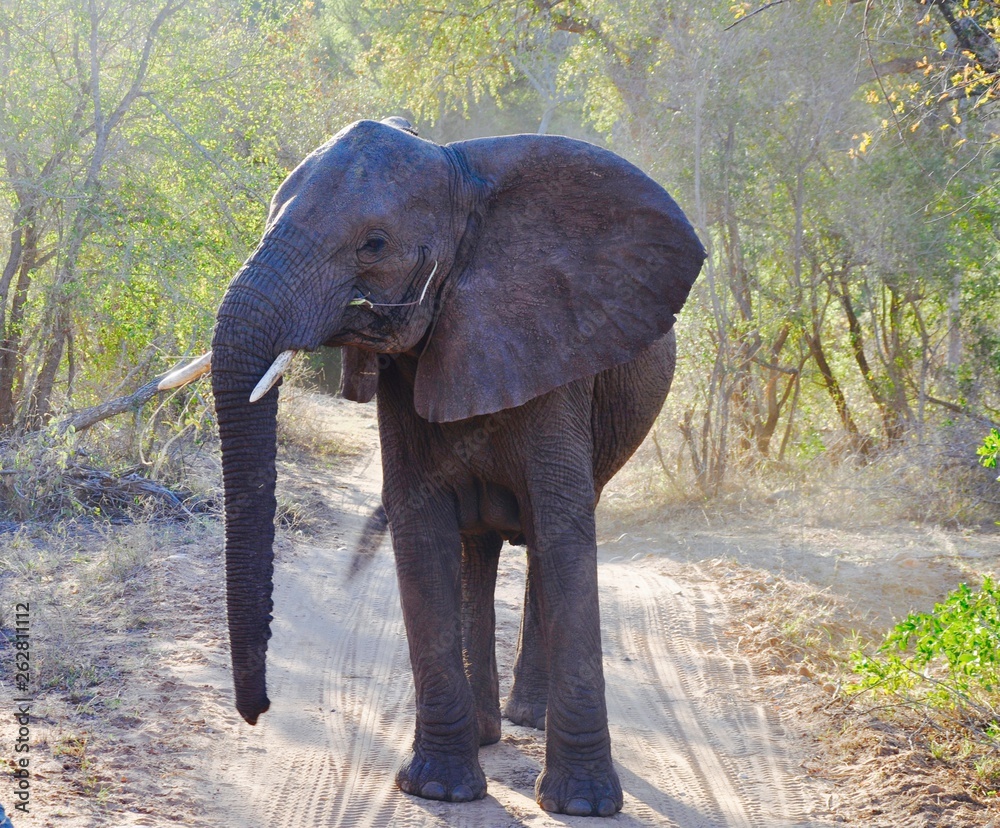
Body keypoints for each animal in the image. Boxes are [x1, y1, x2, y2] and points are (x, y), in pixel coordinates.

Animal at [161, 116, 704, 816]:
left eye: (375, 243)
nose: (257, 712)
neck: (463, 179)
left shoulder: (558, 347)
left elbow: (562, 531)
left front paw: (582, 806)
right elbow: (421, 530)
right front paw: (440, 790)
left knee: (543, 539)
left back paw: (526, 720)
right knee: (477, 546)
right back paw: (488, 732)